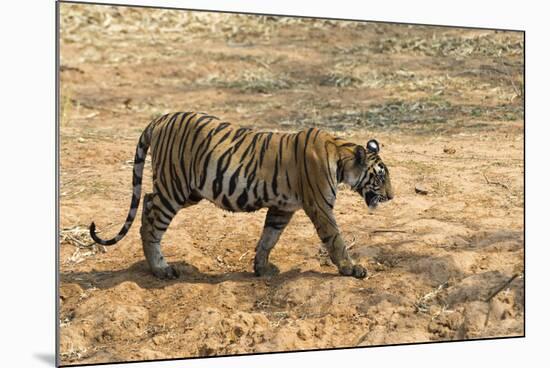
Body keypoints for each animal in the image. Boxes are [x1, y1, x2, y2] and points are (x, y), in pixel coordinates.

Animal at [89, 111, 392, 278]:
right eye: (380, 177)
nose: (391, 196)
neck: (341, 155)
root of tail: (161, 118)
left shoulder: (283, 208)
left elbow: (268, 238)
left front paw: (261, 268)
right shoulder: (320, 207)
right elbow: (336, 240)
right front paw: (351, 270)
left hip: (187, 191)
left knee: (148, 201)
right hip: (175, 188)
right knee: (152, 220)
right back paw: (161, 269)